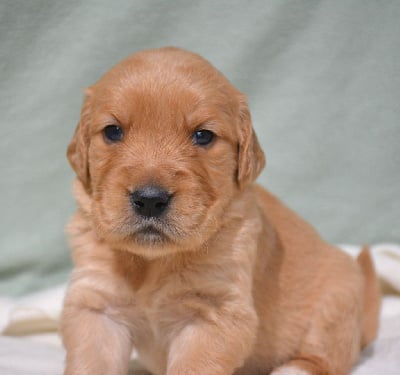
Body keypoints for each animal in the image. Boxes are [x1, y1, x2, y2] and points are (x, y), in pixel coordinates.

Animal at [61, 47, 380, 375]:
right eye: (113, 132)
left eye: (203, 136)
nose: (150, 199)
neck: (154, 262)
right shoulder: (96, 305)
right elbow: (92, 362)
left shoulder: (215, 312)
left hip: (337, 302)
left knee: (323, 358)